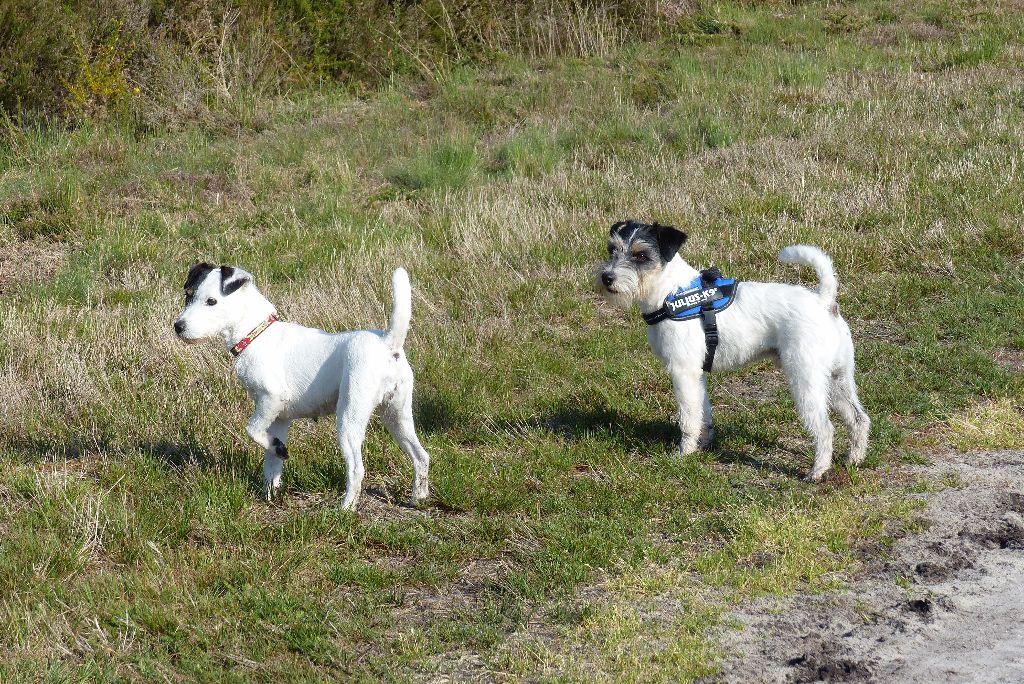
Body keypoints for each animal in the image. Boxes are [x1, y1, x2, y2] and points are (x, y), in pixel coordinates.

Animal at [174, 264, 430, 509]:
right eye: (188, 295)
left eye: (211, 301)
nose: (178, 326)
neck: (255, 334)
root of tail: (387, 344)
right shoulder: (277, 419)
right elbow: (271, 463)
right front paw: (271, 494)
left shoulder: (271, 399)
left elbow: (252, 429)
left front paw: (278, 451)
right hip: (396, 415)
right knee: (421, 456)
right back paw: (419, 498)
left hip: (350, 417)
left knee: (357, 469)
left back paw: (346, 508)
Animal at [598, 220, 868, 481]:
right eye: (612, 249)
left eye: (641, 255)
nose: (607, 277)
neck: (669, 293)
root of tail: (824, 301)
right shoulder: (697, 374)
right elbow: (703, 413)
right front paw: (702, 444)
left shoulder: (682, 372)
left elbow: (688, 419)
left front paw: (684, 454)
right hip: (838, 378)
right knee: (859, 418)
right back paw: (854, 459)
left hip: (806, 381)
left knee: (825, 428)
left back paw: (818, 471)